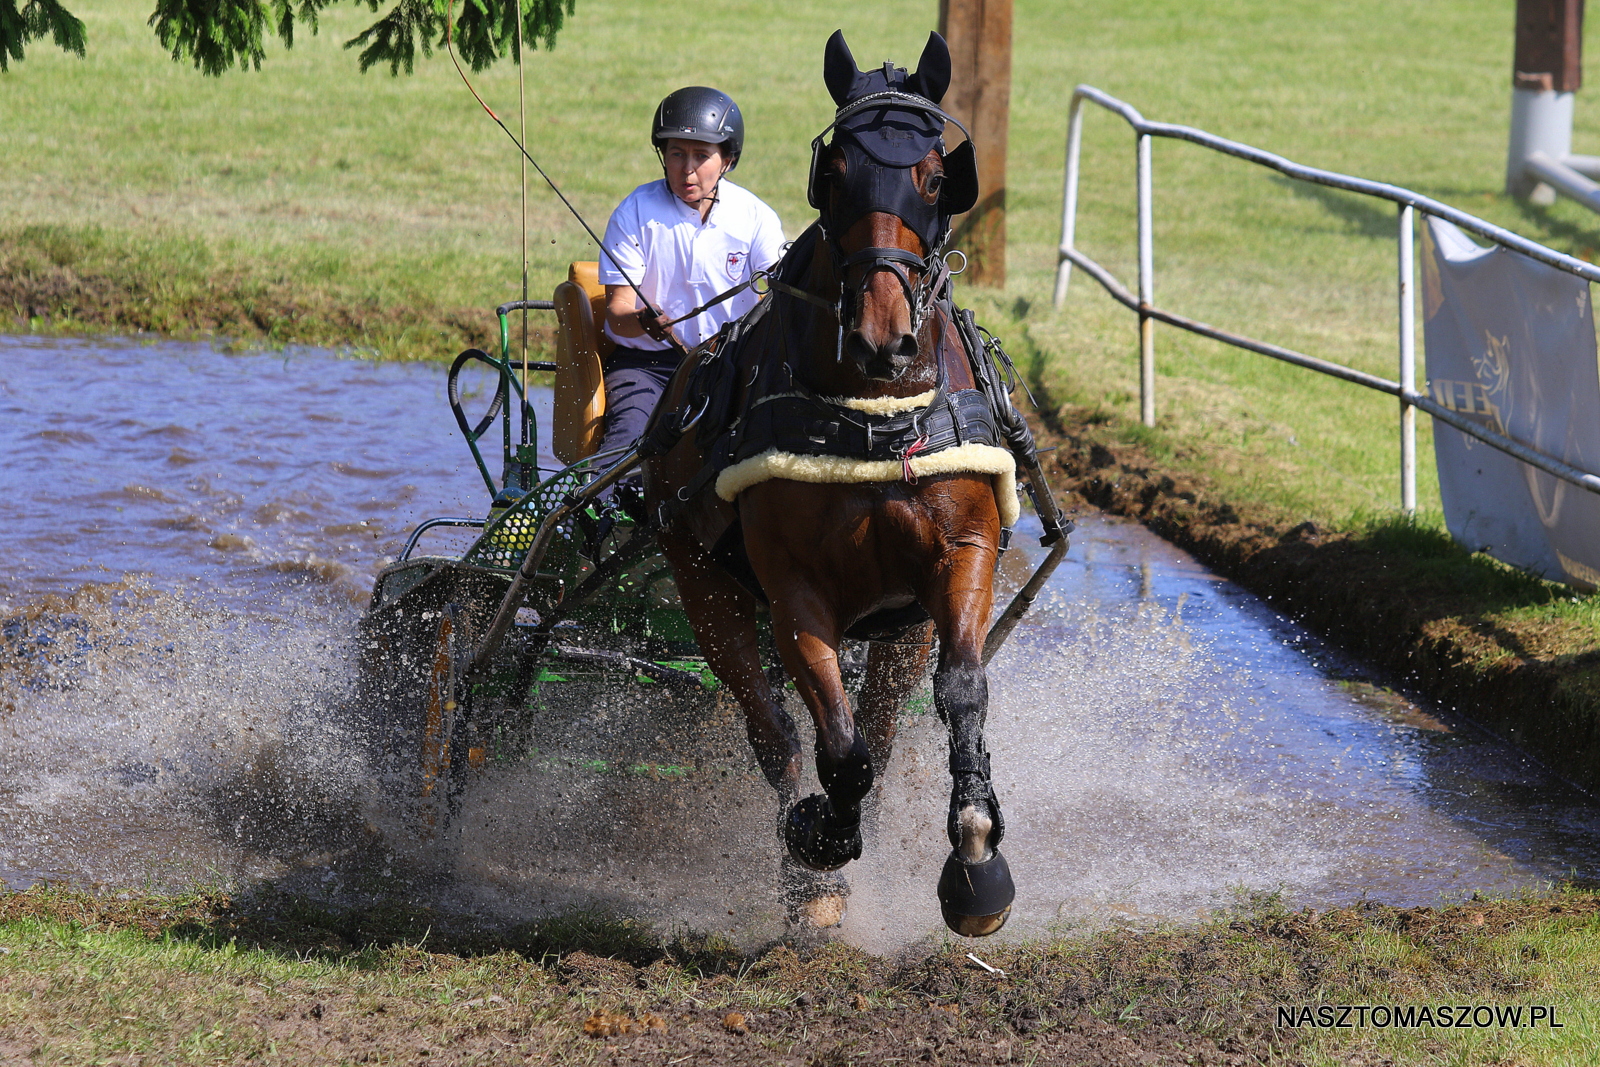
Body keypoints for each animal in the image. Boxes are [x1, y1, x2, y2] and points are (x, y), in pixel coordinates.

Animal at [644, 29, 1039, 936]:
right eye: (840, 171)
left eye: (934, 176)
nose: (881, 337)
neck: (873, 414)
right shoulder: (794, 588)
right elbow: (837, 743)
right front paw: (820, 841)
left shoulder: (960, 554)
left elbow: (960, 691)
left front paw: (977, 851)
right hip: (703, 584)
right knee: (774, 727)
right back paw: (805, 861)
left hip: (897, 627)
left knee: (885, 726)